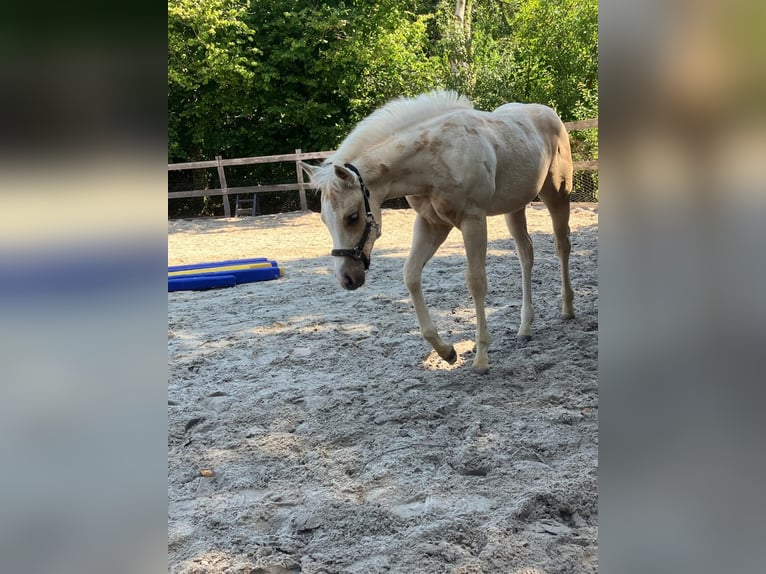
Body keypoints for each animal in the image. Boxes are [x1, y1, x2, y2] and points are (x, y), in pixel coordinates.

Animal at [300, 90, 574, 374]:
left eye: (352, 217)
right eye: (324, 219)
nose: (347, 279)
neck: (434, 157)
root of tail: (549, 113)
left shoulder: (473, 221)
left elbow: (476, 281)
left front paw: (481, 358)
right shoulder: (431, 223)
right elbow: (411, 275)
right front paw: (447, 352)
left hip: (556, 195)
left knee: (561, 245)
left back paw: (567, 309)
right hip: (515, 208)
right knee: (526, 254)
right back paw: (525, 328)